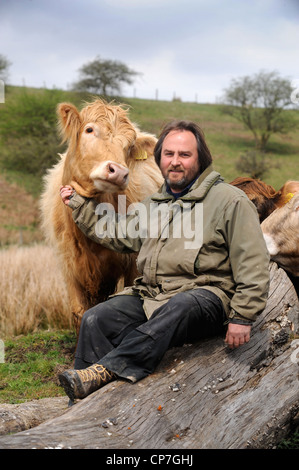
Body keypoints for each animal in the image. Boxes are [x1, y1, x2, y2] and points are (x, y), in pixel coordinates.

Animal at [40, 99, 164, 334]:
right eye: (89, 130)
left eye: (129, 146)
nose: (119, 172)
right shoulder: (69, 267)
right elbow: (79, 312)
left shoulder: (132, 265)